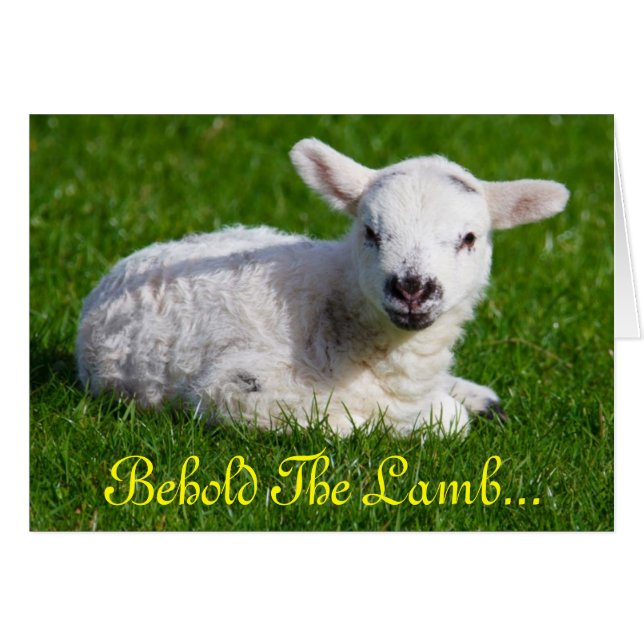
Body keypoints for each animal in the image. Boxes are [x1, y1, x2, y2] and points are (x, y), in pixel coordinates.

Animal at [76, 138, 569, 436]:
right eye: (370, 232)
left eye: (469, 238)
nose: (412, 288)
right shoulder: (234, 388)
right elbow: (352, 422)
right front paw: (426, 417)